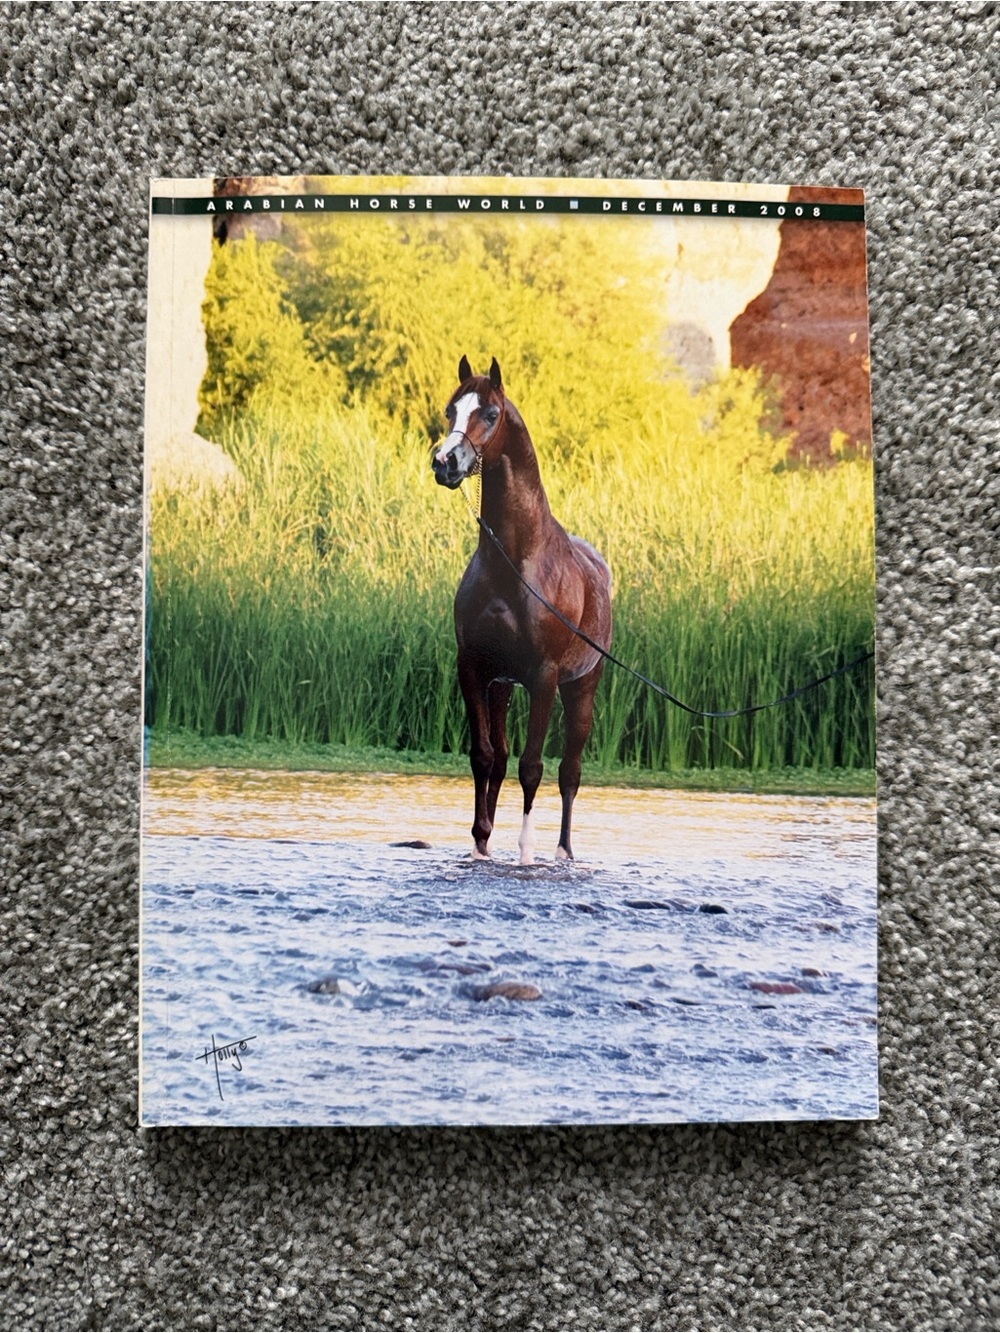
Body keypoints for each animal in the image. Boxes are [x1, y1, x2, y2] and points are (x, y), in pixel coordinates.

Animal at [432, 355, 613, 864]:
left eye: (490, 414)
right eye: (451, 410)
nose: (444, 462)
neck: (515, 561)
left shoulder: (544, 677)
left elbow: (532, 766)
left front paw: (525, 850)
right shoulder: (474, 668)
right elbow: (484, 756)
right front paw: (479, 843)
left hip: (581, 690)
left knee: (570, 772)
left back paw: (563, 851)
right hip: (503, 687)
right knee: (499, 758)